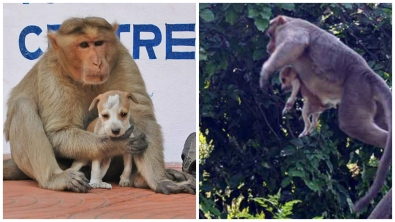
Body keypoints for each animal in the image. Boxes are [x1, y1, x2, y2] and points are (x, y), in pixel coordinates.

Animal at [3, 16, 195, 194]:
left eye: (99, 43)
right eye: (84, 45)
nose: (98, 62)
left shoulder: (123, 59)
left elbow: (142, 118)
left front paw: (159, 180)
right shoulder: (51, 73)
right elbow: (58, 131)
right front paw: (115, 144)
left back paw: (139, 179)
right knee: (22, 106)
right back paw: (55, 178)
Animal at [260, 14, 392, 212]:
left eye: (270, 35)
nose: (269, 47)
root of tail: (368, 73)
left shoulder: (290, 29)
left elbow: (297, 43)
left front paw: (265, 72)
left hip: (356, 88)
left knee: (351, 123)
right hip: (370, 98)